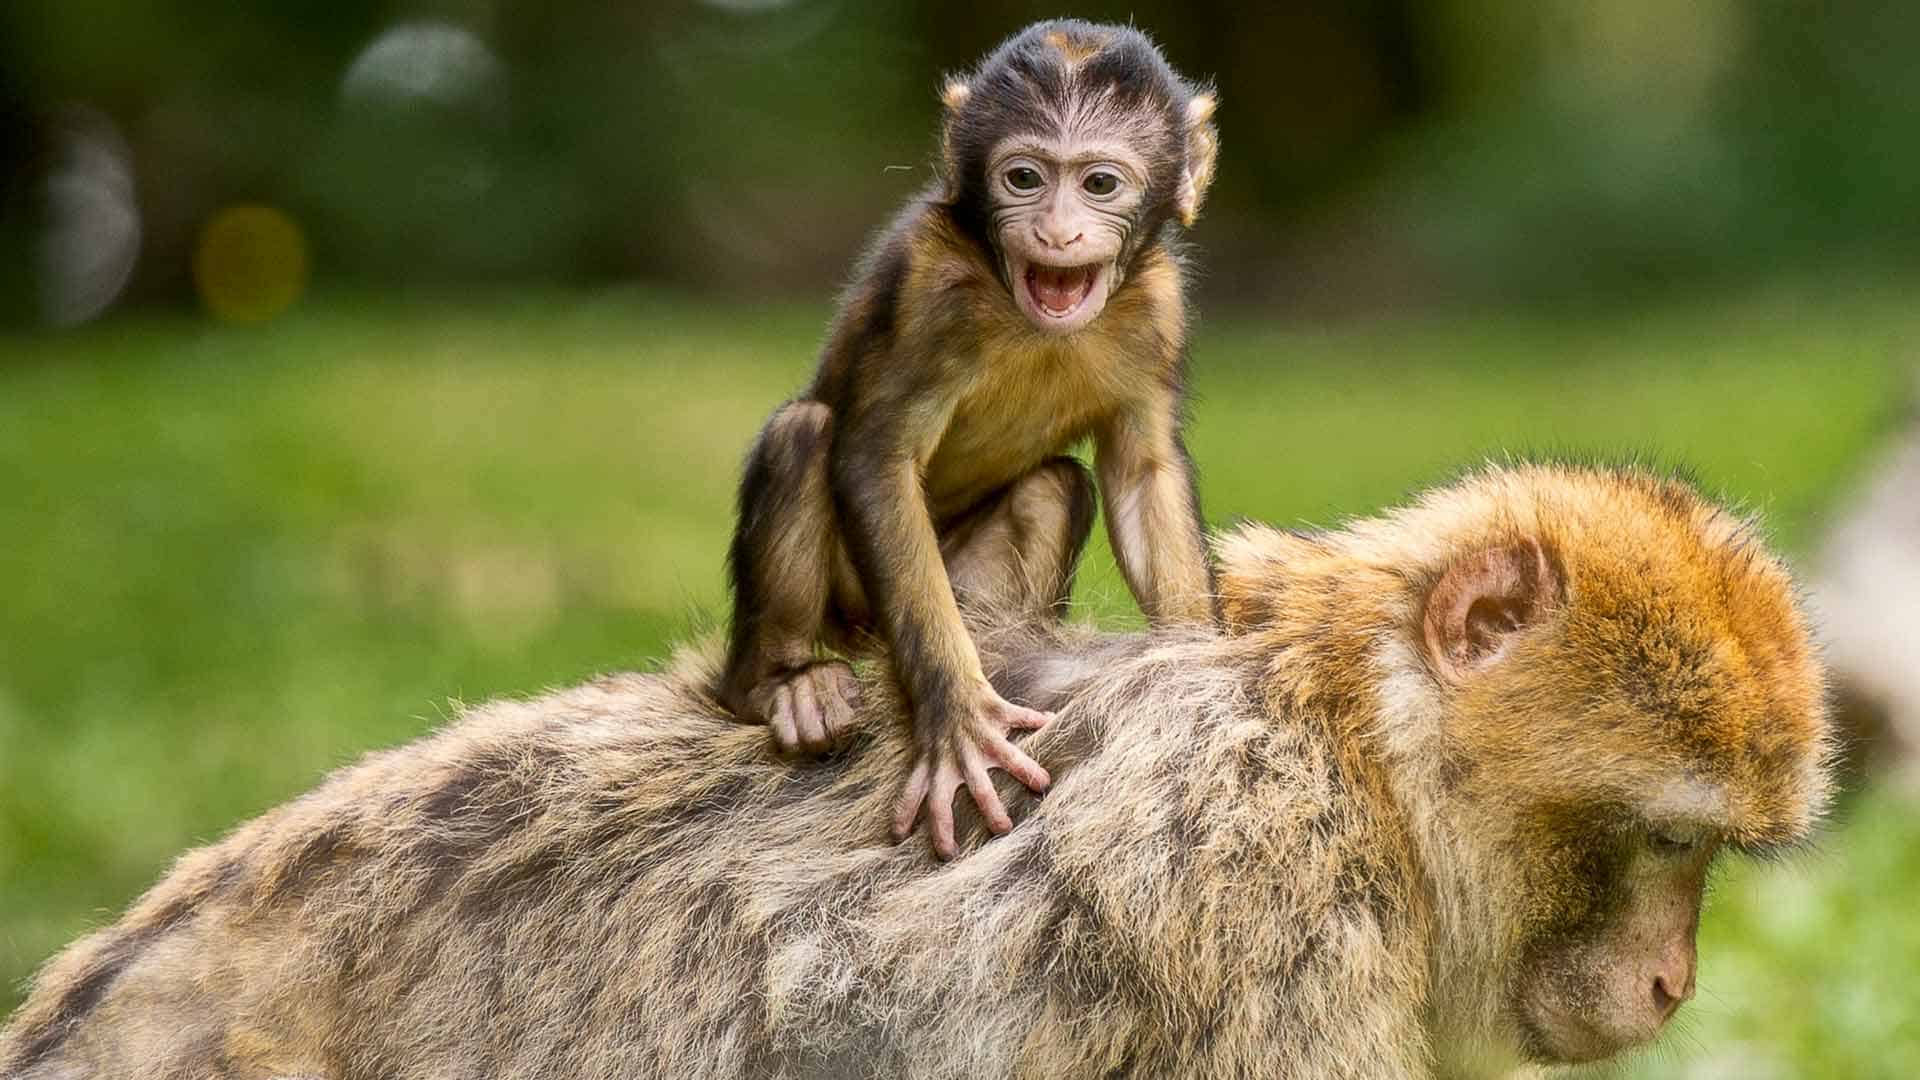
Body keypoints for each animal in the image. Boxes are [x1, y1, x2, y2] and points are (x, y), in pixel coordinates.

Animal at [721, 21, 1213, 853]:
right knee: (804, 434)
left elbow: (1142, 473)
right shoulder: (928, 285)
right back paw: (779, 687)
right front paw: (955, 717)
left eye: (1099, 185)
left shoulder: (1159, 306)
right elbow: (876, 458)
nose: (1056, 230)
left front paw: (1199, 670)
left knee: (1055, 486)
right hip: (853, 606)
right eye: (1024, 177)